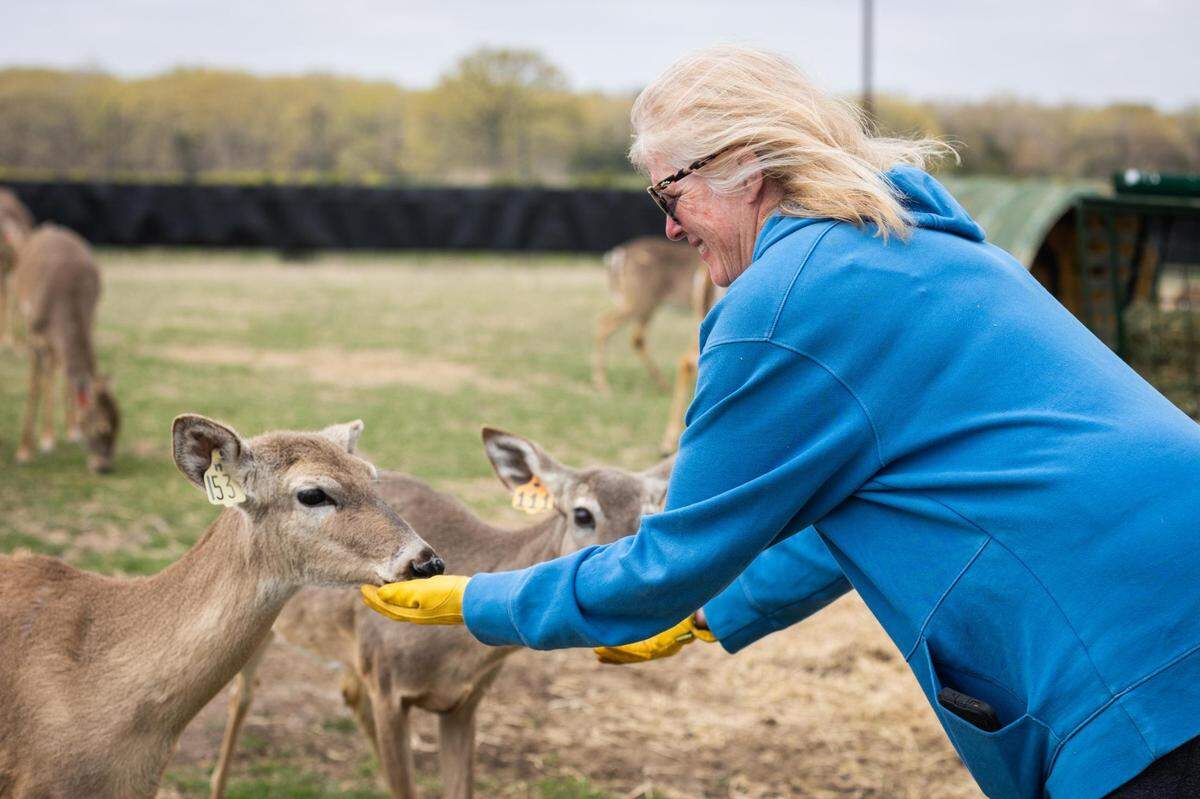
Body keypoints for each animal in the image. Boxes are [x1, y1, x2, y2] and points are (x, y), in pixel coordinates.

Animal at [8, 221, 120, 472]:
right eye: (101, 427)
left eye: (119, 423)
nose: (104, 467)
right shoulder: (34, 332)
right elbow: (34, 386)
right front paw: (24, 451)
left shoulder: (90, 318)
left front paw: (72, 428)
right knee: (49, 370)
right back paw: (47, 437)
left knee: (59, 366)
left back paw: (64, 430)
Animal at [209, 427, 674, 799]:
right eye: (582, 513)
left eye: (652, 515)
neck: (456, 655)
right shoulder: (389, 686)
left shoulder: (465, 702)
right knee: (241, 694)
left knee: (346, 690)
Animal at [592, 235, 704, 393]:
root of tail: (618, 256)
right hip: (640, 299)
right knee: (605, 323)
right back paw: (602, 384)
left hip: (639, 302)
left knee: (635, 337)